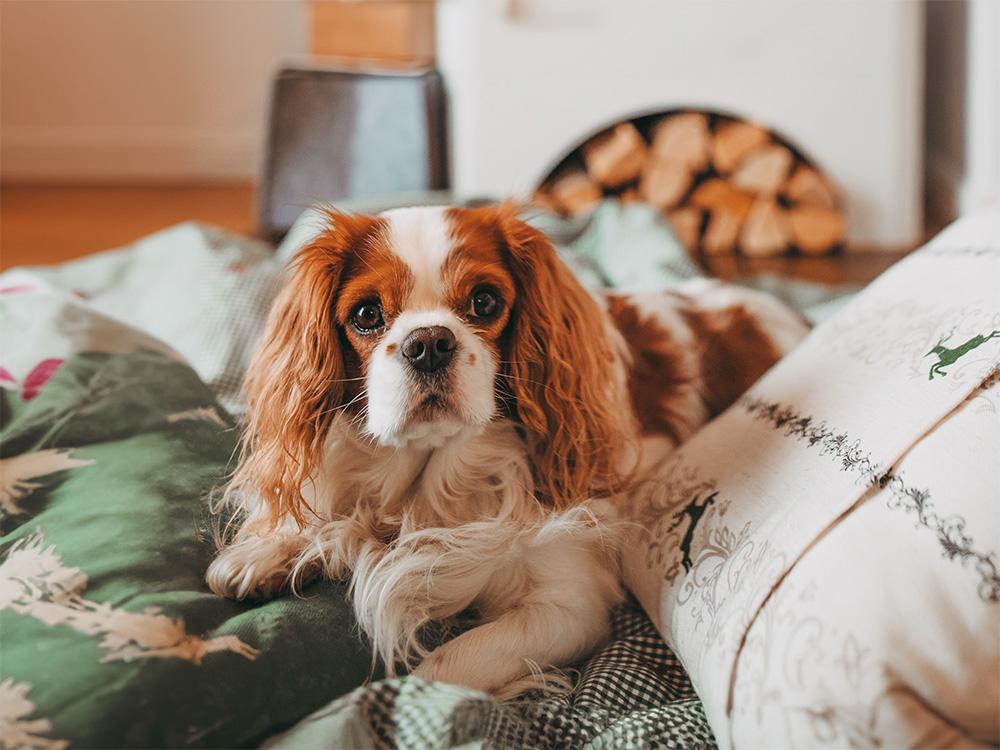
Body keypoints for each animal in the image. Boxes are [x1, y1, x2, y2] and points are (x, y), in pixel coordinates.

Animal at [207, 203, 808, 696]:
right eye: (367, 315)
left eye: (485, 301)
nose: (429, 342)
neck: (431, 479)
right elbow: (327, 517)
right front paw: (271, 549)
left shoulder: (567, 606)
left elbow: (450, 664)